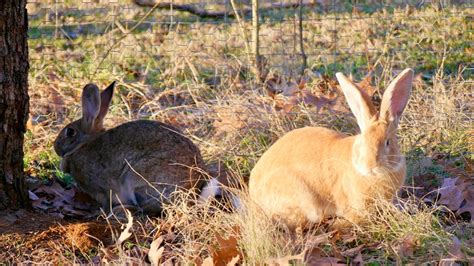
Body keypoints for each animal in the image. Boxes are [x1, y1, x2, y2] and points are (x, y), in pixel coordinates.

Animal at [54, 82, 206, 215]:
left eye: (70, 132)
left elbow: (106, 201)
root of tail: (194, 186)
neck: (83, 144)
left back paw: (120, 211)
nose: (55, 147)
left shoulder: (101, 187)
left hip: (136, 178)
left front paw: (98, 213)